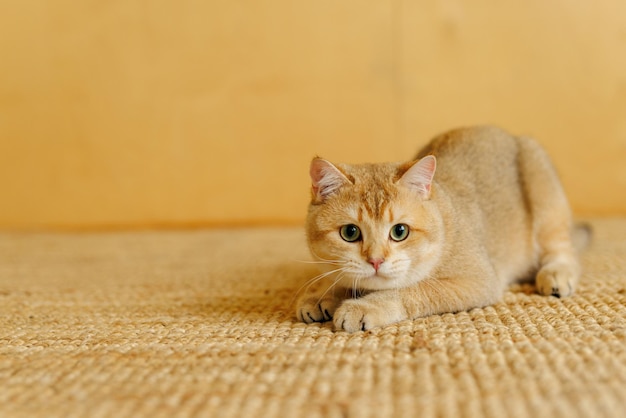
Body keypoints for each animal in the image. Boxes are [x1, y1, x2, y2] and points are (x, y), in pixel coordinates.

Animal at [294, 125, 584, 332]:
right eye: (350, 233)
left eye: (400, 232)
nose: (375, 261)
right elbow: (342, 278)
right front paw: (322, 294)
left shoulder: (476, 281)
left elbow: (409, 291)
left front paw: (363, 307)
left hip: (543, 192)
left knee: (561, 249)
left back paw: (556, 273)